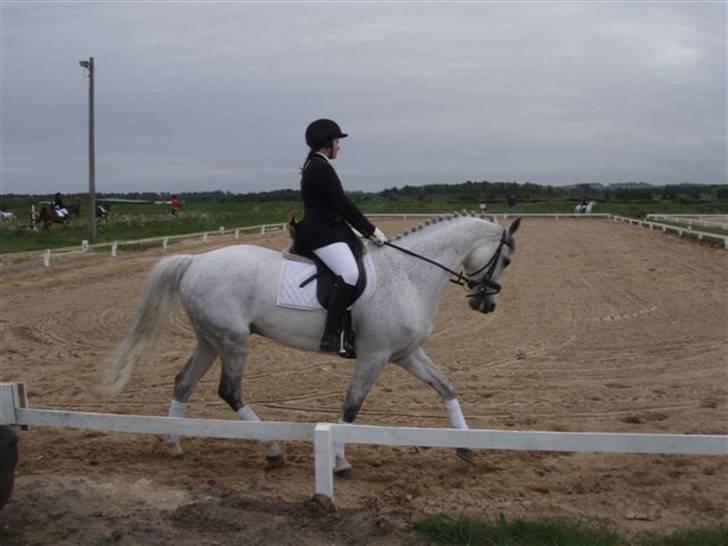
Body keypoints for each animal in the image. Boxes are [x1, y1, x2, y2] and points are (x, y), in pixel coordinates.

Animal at [94, 210, 520, 474]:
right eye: (506, 261)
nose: (485, 303)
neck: (409, 274)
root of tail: (195, 261)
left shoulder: (405, 354)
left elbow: (446, 387)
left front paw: (465, 447)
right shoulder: (375, 356)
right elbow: (351, 408)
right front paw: (340, 462)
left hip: (210, 340)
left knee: (183, 382)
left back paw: (173, 443)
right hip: (233, 342)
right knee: (230, 391)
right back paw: (271, 448)